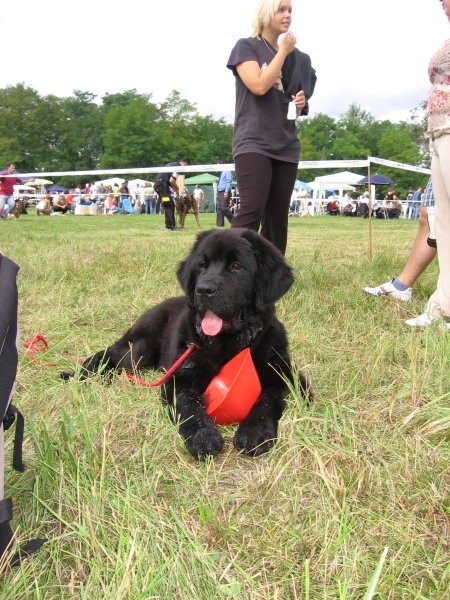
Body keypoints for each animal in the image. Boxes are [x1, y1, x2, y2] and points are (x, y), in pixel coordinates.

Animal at [72, 230, 312, 460]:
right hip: (139, 348)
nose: (203, 289)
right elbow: (189, 406)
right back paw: (86, 374)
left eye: (236, 266)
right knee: (109, 355)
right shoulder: (180, 377)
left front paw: (254, 432)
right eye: (202, 266)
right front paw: (203, 437)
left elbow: (268, 400)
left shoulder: (286, 374)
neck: (227, 345)